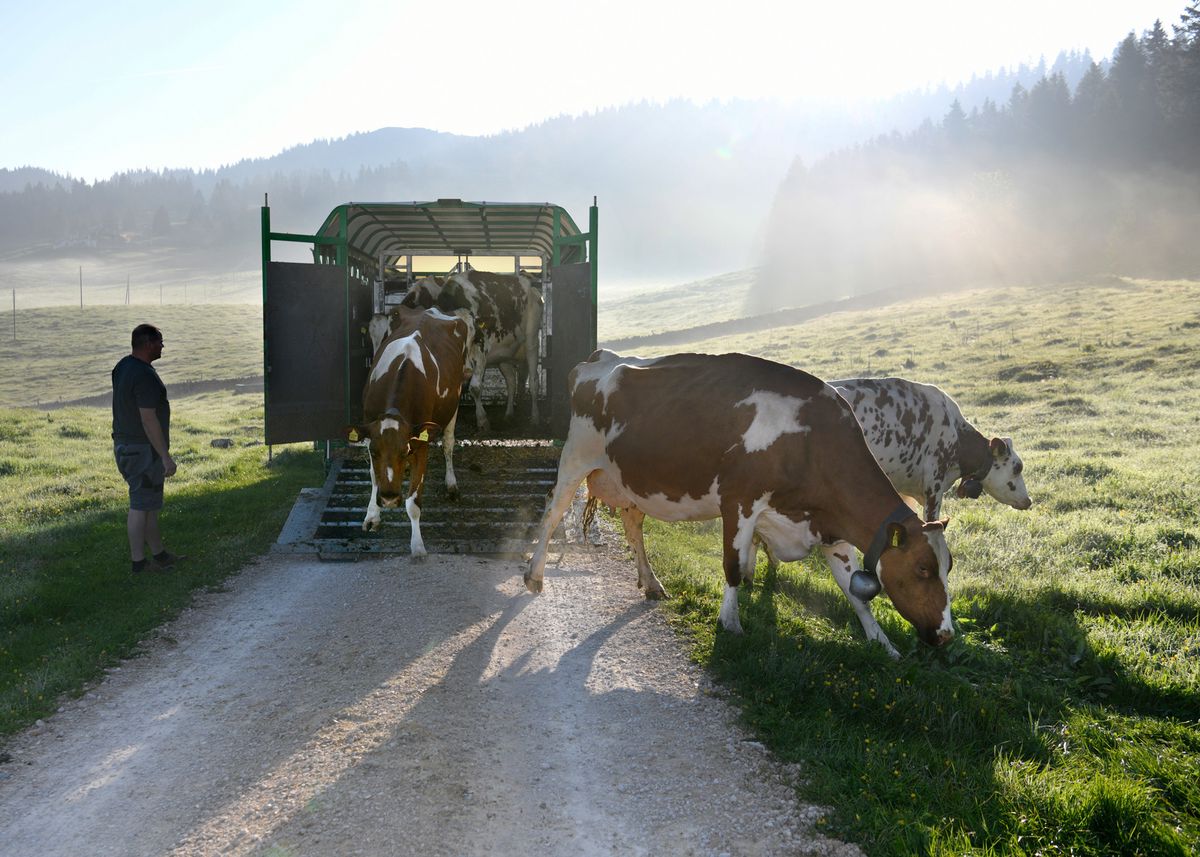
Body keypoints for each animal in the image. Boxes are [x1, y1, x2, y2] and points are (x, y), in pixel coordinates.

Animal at [346, 306, 473, 558]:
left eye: (405, 452)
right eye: (374, 452)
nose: (389, 499)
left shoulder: (420, 442)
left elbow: (413, 503)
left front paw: (417, 546)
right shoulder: (369, 431)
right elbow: (374, 476)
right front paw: (372, 516)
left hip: (454, 402)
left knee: (449, 443)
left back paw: (451, 484)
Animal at [433, 270, 544, 431]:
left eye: (473, 335)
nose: (466, 369)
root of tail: (531, 287)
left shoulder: (481, 350)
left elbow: (475, 387)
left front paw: (482, 420)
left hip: (532, 341)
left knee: (534, 381)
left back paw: (535, 418)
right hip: (504, 355)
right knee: (511, 381)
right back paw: (509, 414)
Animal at [526, 350, 955, 657]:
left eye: (947, 567)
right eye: (922, 568)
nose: (947, 635)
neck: (810, 440)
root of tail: (601, 357)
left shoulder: (829, 525)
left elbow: (855, 593)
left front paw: (883, 643)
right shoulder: (739, 502)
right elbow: (733, 566)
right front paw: (730, 623)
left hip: (629, 480)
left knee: (633, 527)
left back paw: (651, 582)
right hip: (576, 458)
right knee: (552, 512)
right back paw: (534, 575)